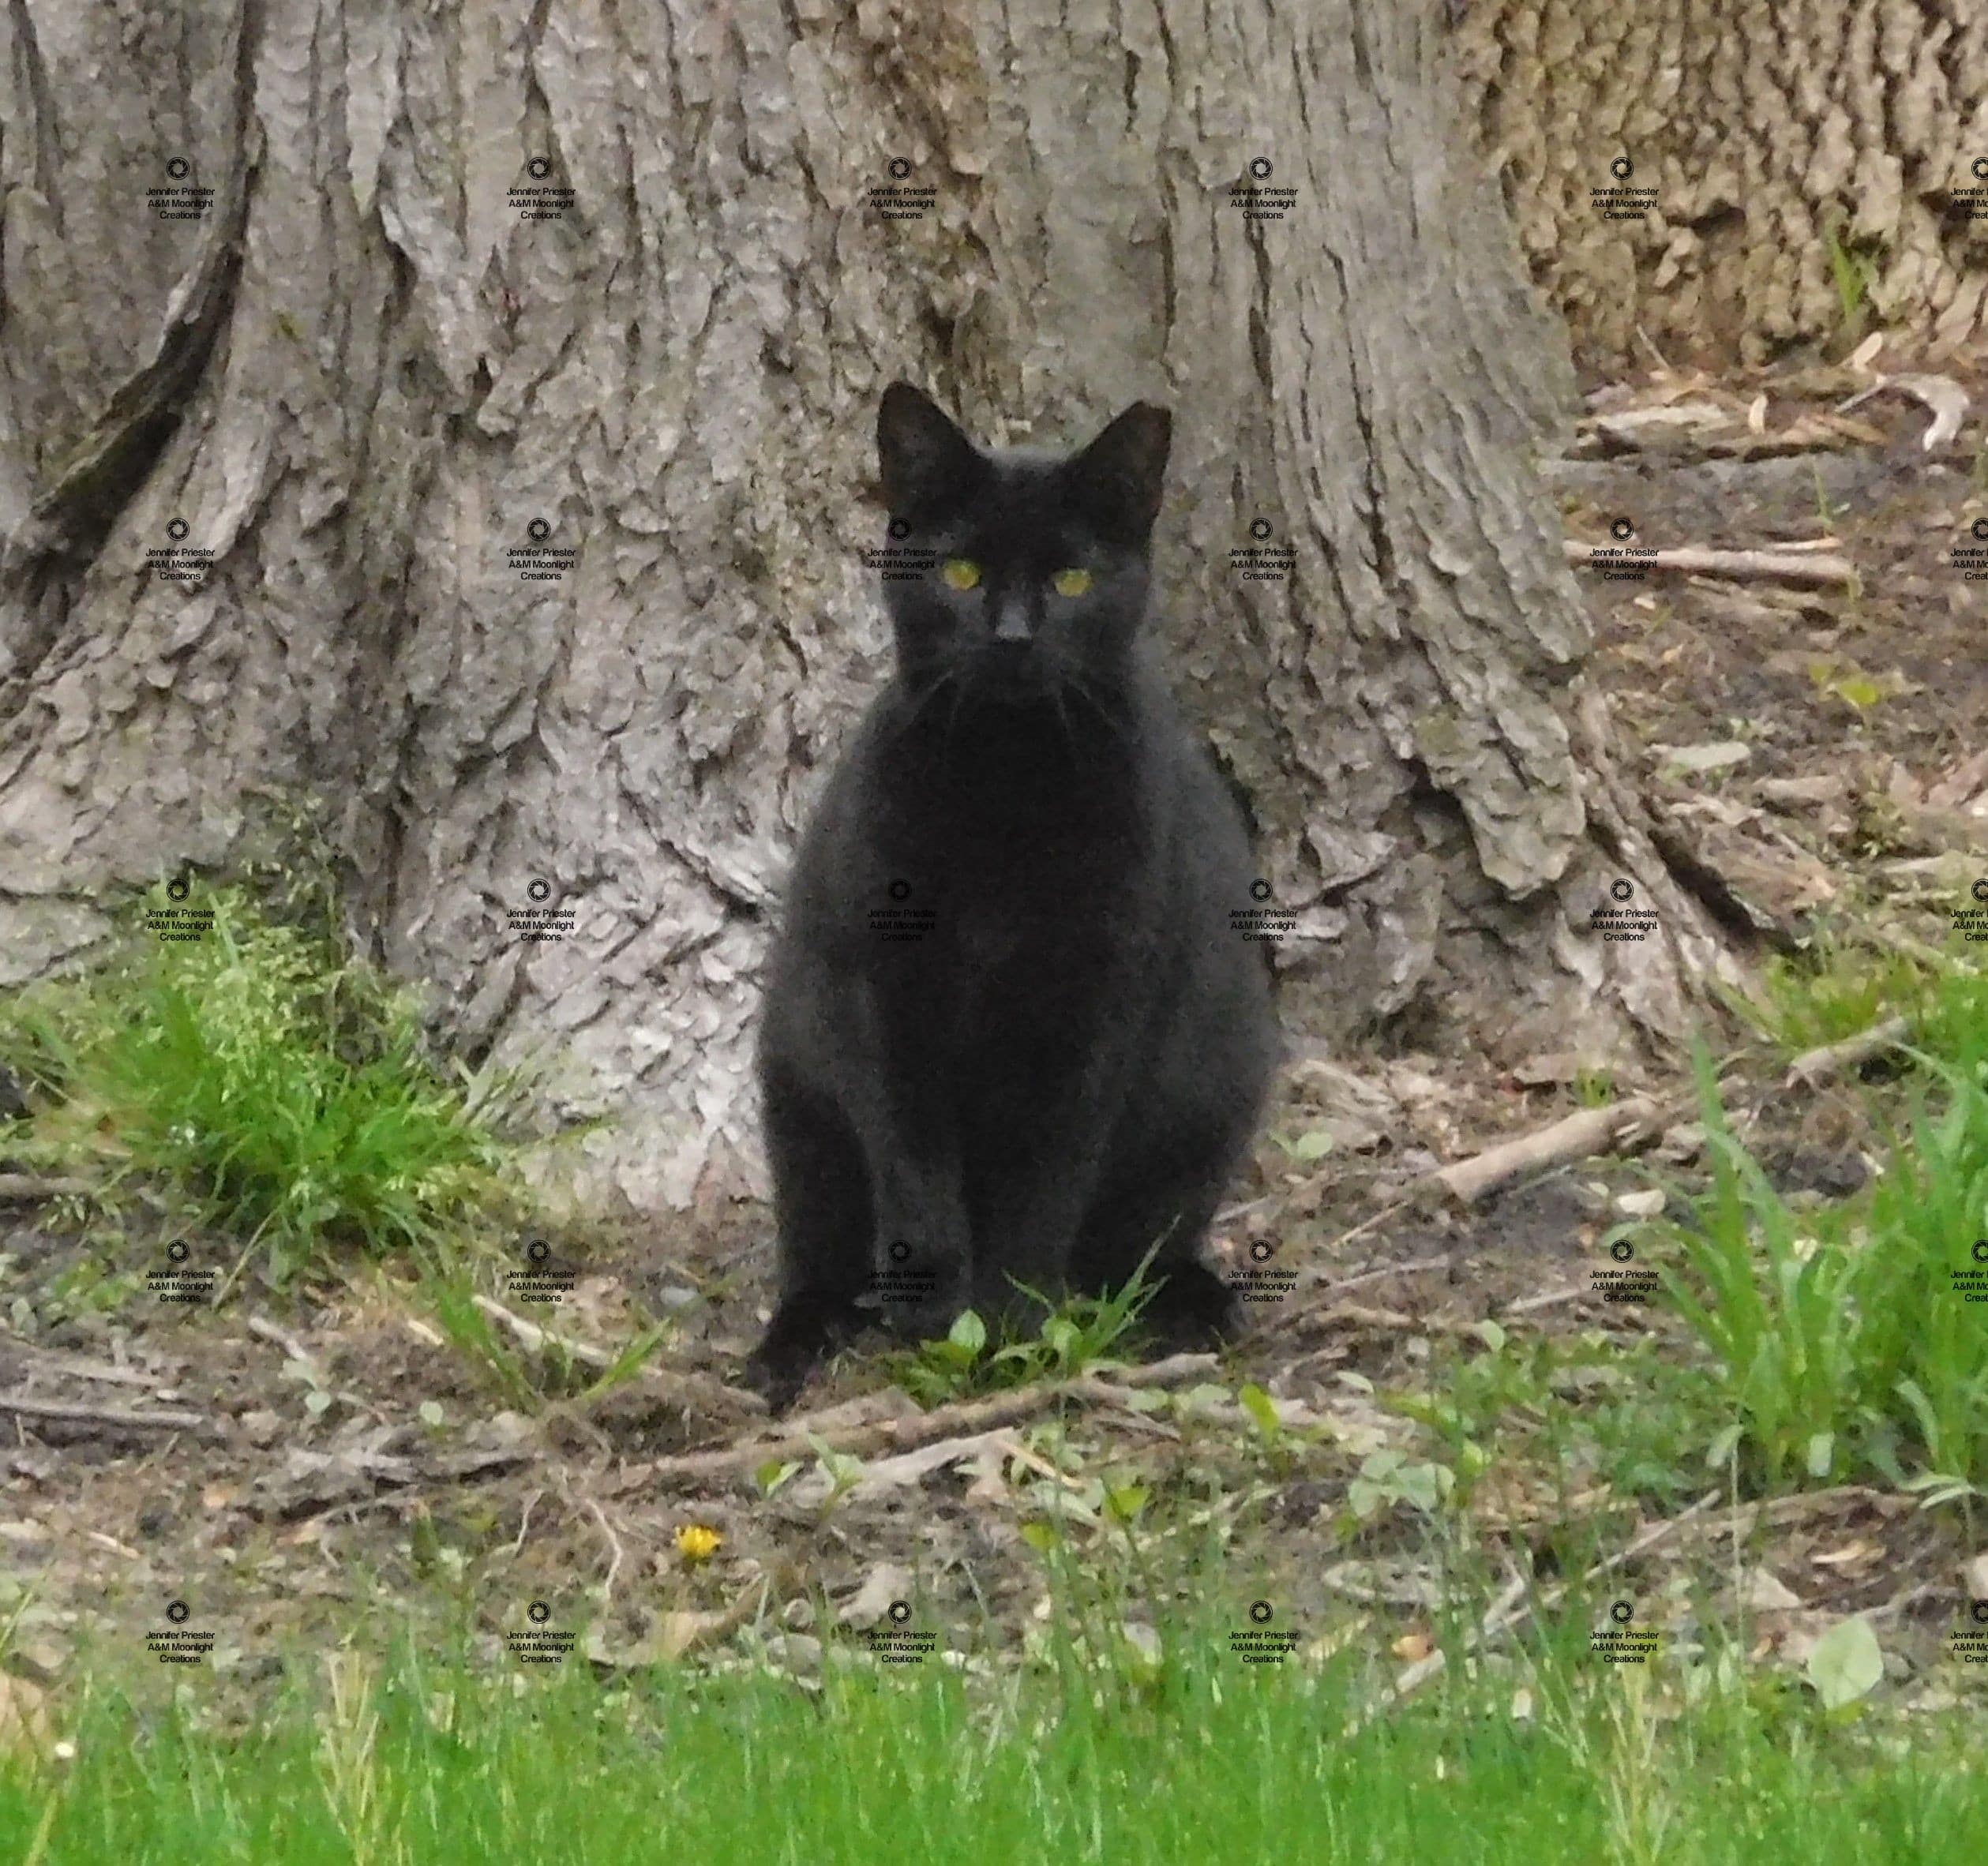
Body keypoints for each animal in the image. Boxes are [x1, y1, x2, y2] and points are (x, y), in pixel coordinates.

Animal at [743, 387, 1272, 1414]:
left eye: (1070, 579)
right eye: (959, 571)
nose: (1014, 636)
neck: (1006, 787)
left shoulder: (1095, 1009)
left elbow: (1044, 1184)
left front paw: (1013, 1326)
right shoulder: (882, 996)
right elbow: (913, 1167)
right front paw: (937, 1316)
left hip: (1211, 1099)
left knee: (1137, 1243)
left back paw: (1193, 1304)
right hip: (799, 1095)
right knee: (817, 1250)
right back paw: (790, 1350)